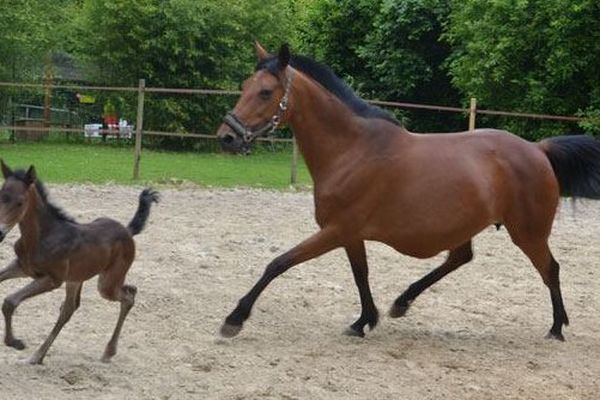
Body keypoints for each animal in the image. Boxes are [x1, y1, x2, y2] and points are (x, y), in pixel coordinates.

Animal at [0, 161, 158, 364]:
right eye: (0, 196)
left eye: (20, 202)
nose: (0, 233)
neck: (42, 236)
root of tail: (128, 231)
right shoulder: (22, 267)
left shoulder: (52, 280)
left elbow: (10, 301)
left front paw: (15, 342)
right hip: (76, 279)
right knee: (70, 309)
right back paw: (38, 356)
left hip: (106, 284)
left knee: (128, 297)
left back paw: (108, 352)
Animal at [216, 43, 600, 340]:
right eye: (244, 85)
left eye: (266, 92)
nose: (227, 137)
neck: (351, 150)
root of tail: (538, 149)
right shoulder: (350, 234)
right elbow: (360, 275)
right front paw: (363, 321)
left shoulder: (335, 230)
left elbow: (278, 263)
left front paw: (234, 319)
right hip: (465, 225)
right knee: (460, 258)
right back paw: (402, 302)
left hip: (528, 233)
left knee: (550, 269)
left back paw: (556, 328)